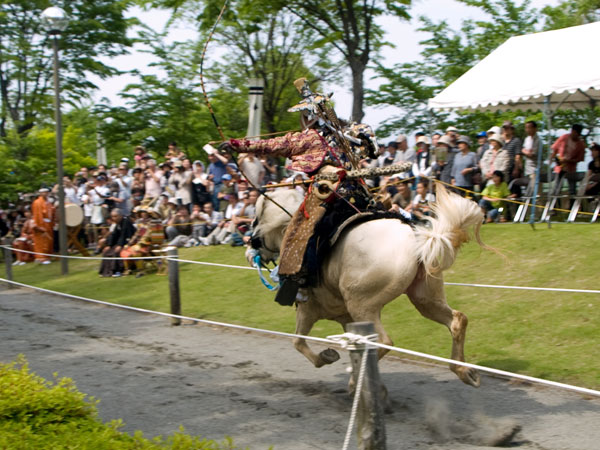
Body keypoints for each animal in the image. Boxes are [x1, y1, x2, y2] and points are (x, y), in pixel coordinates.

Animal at [248, 183, 488, 386]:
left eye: (256, 221)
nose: (250, 251)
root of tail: (419, 240)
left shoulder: (309, 310)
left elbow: (297, 341)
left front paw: (327, 356)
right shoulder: (346, 319)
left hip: (362, 305)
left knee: (382, 341)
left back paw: (356, 382)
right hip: (425, 299)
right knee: (456, 320)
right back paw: (465, 371)